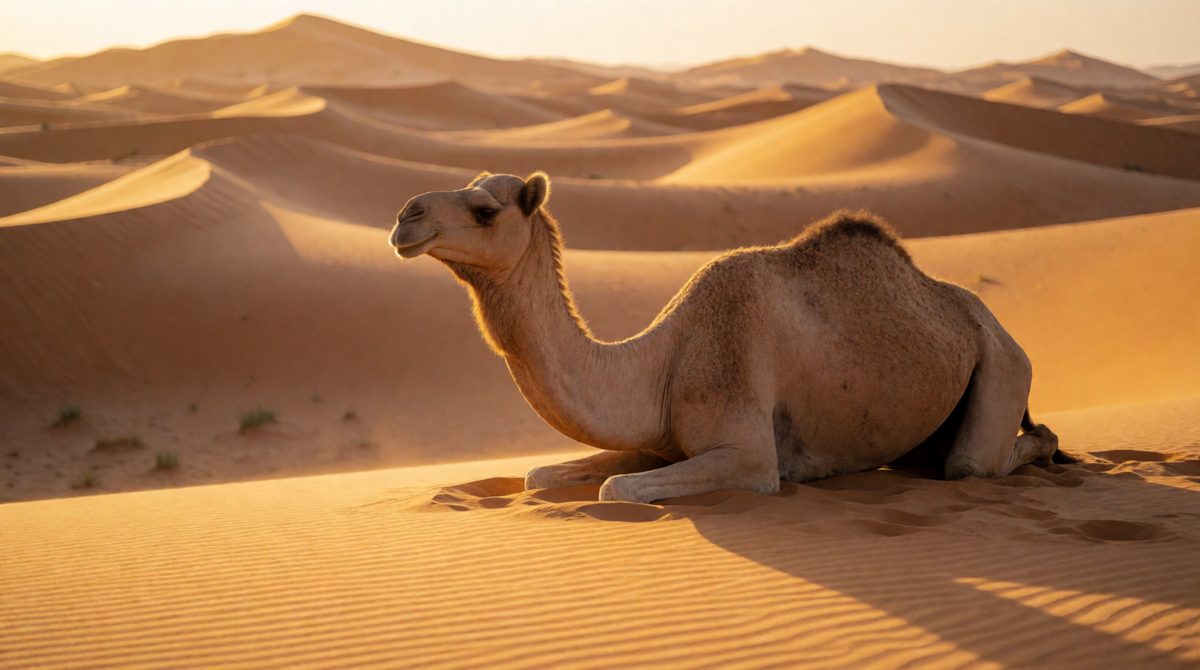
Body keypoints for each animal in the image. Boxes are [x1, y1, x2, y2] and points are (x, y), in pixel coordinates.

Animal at [390, 171, 1069, 504]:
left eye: (484, 210)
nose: (405, 216)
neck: (660, 361)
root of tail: (998, 326)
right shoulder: (661, 440)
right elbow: (542, 476)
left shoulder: (749, 452)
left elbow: (615, 489)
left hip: (1004, 365)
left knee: (976, 461)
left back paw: (1048, 445)